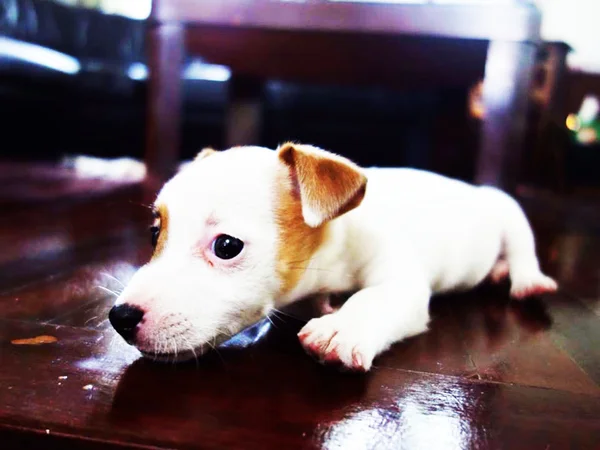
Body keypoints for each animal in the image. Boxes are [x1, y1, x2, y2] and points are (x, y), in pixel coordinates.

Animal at [109, 142, 556, 370]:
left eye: (226, 246)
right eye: (155, 233)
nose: (120, 318)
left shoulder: (401, 283)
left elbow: (373, 298)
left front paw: (342, 328)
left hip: (508, 211)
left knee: (522, 248)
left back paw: (525, 280)